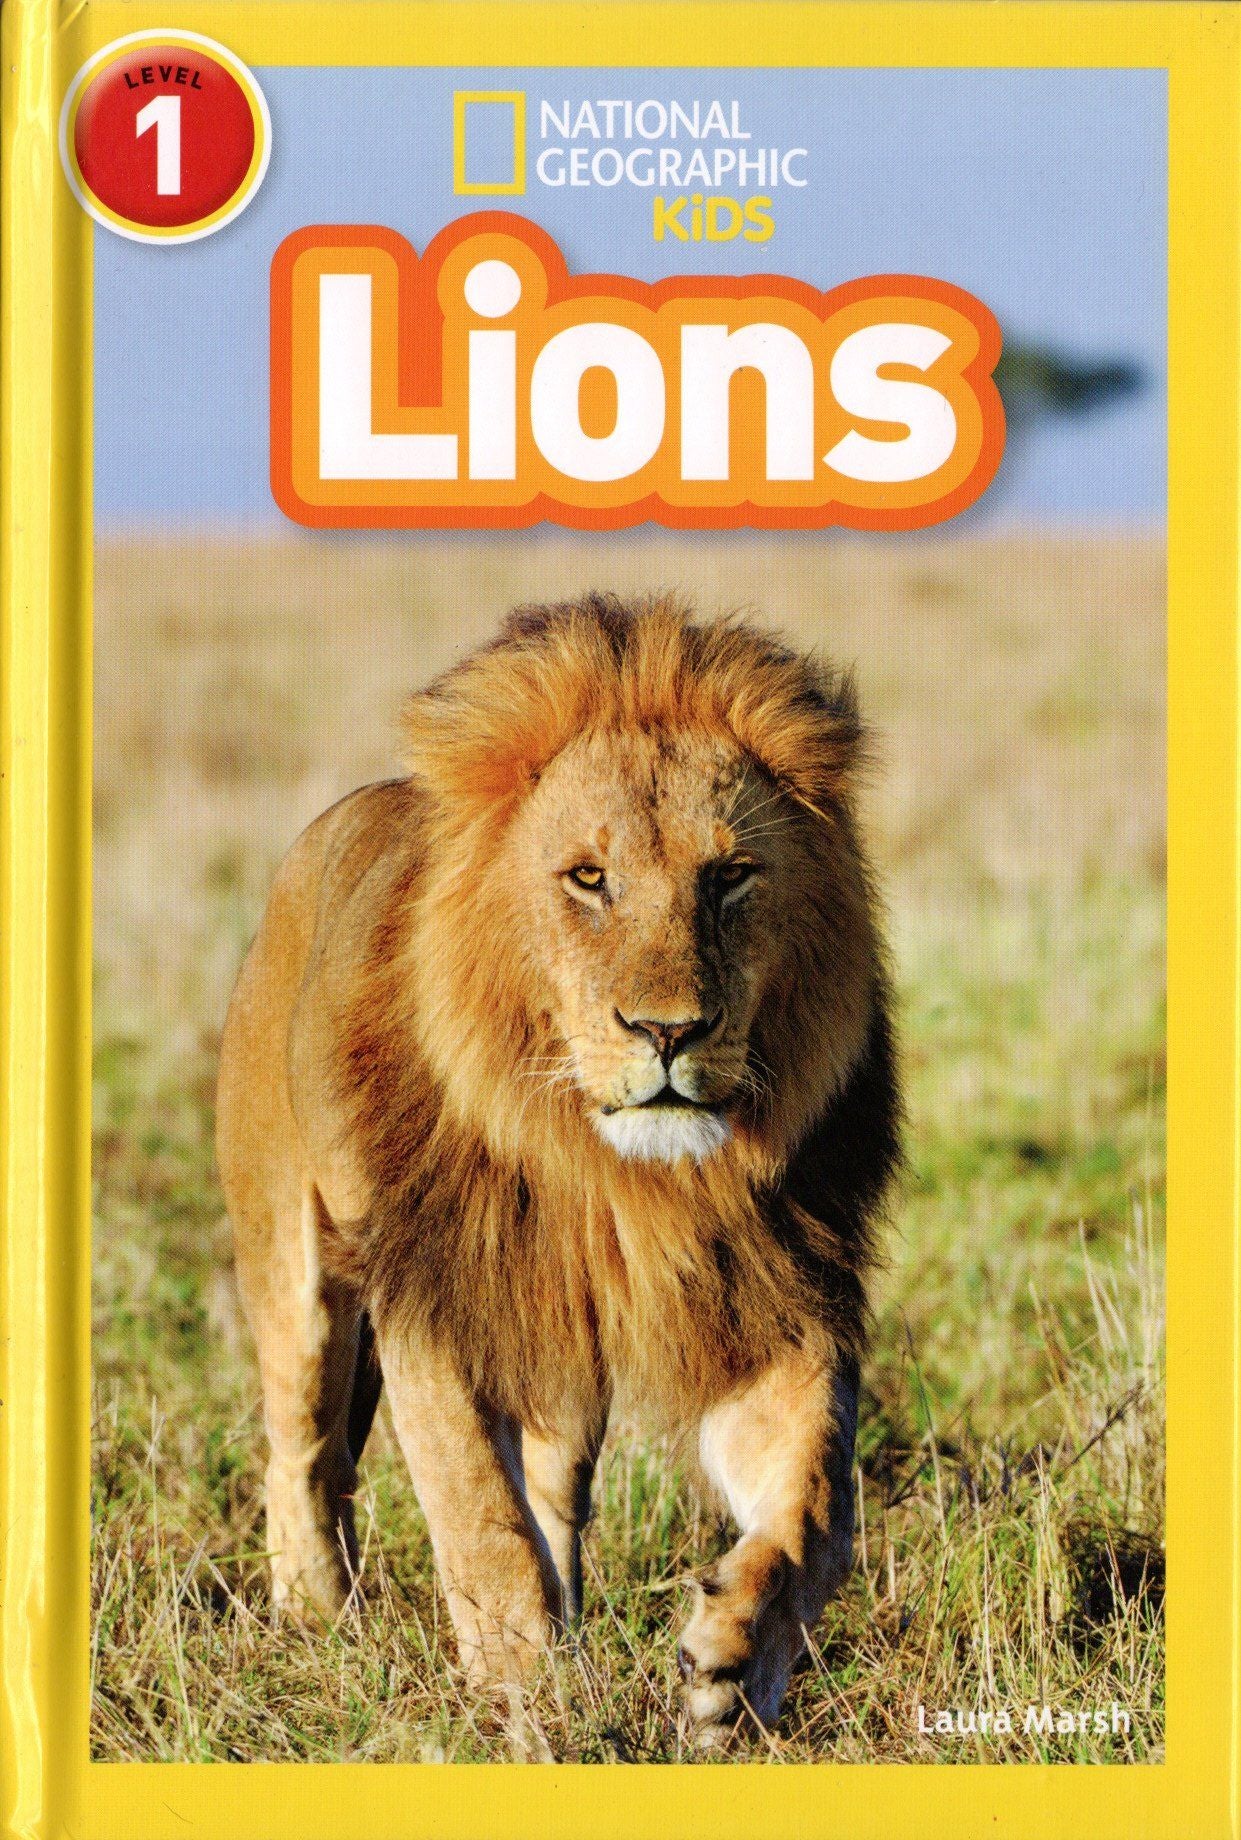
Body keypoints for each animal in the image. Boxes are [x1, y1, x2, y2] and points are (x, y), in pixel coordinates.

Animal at [216, 593, 901, 1741]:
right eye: (589, 878)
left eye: (729, 877)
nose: (668, 1031)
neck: (616, 1177)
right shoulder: (436, 1300)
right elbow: (476, 1517)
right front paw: (522, 1700)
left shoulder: (770, 1299)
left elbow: (816, 1506)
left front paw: (734, 1664)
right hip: (294, 1268)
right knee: (301, 1450)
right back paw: (315, 1618)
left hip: (563, 1364)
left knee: (550, 1491)